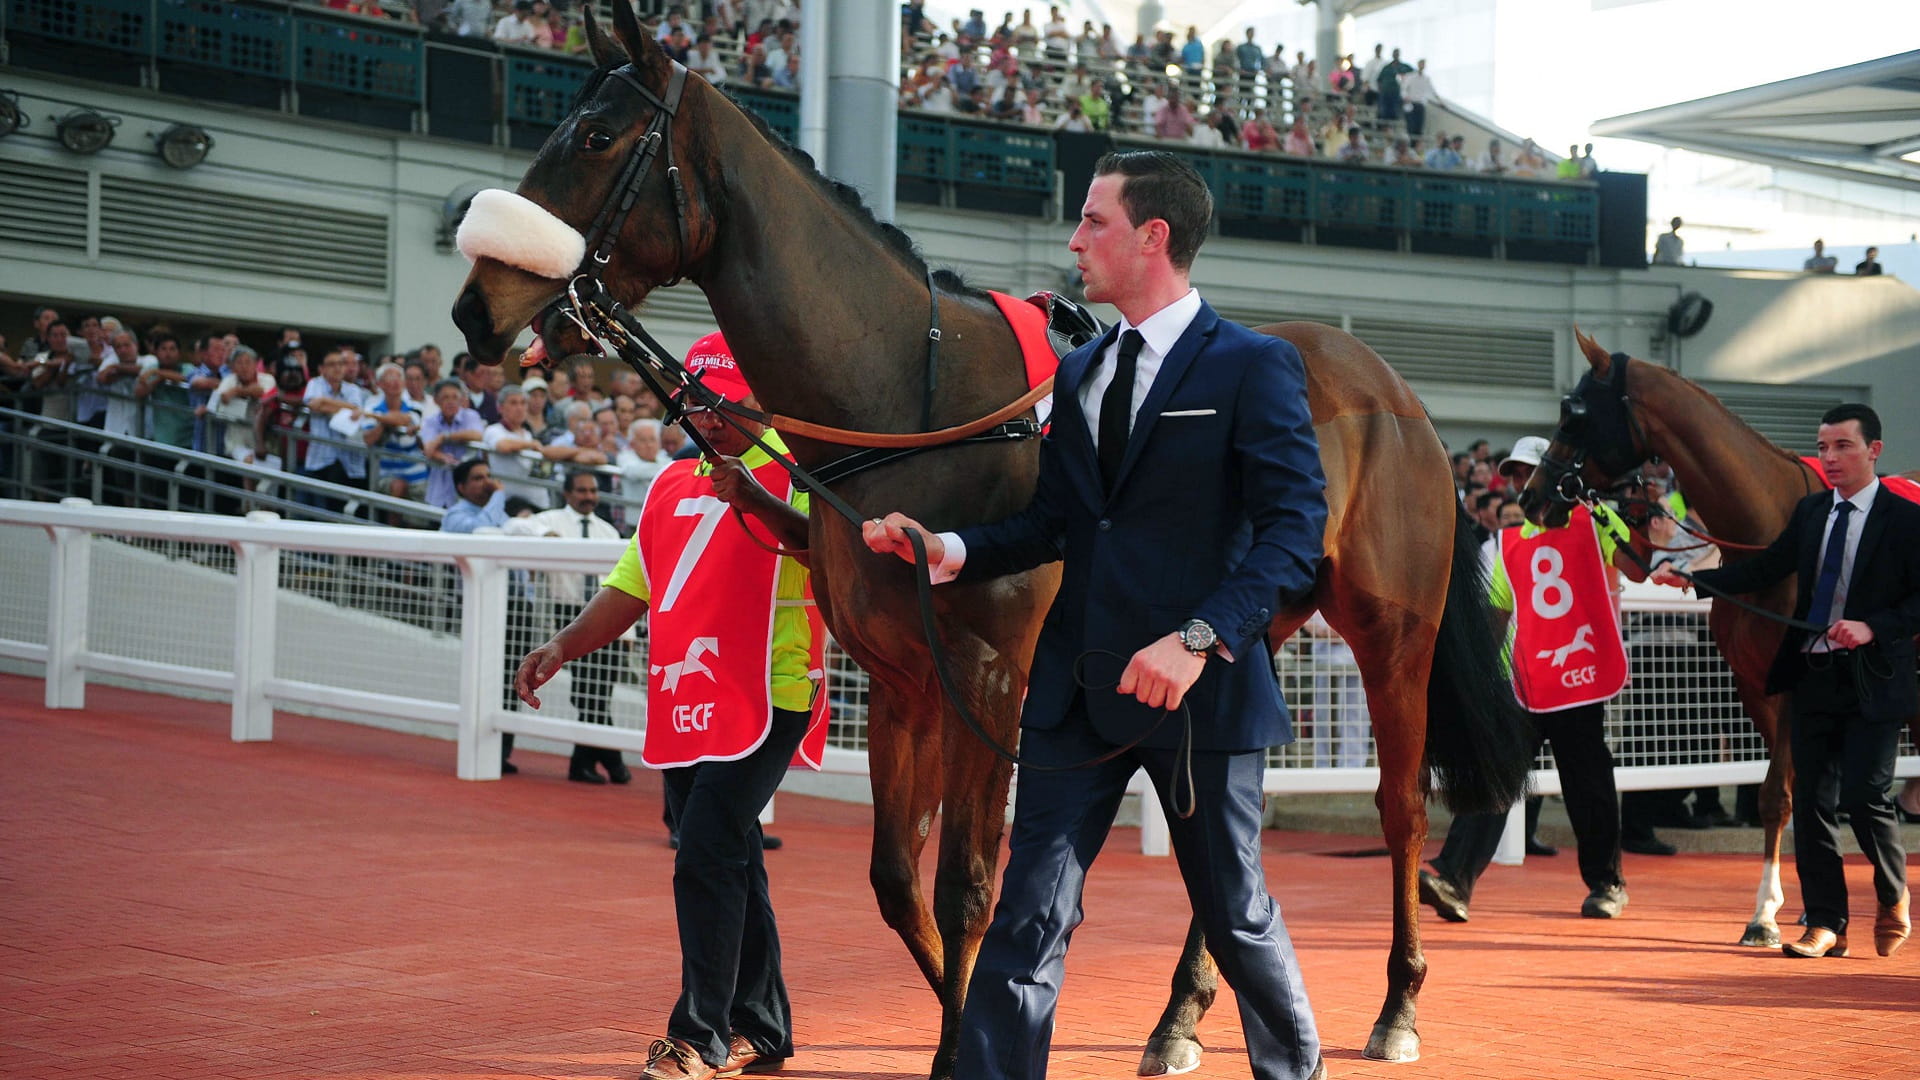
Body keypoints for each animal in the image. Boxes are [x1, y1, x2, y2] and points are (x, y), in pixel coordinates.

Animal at [449, 7, 1530, 1074]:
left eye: (594, 136)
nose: (475, 307)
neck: (907, 398)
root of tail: (1396, 395)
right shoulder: (901, 677)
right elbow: (898, 877)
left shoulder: (990, 672)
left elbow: (969, 878)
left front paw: (958, 1040)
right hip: (1237, 637)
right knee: (1219, 832)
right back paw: (1180, 1014)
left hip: (1393, 634)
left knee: (1399, 805)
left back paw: (1395, 1003)